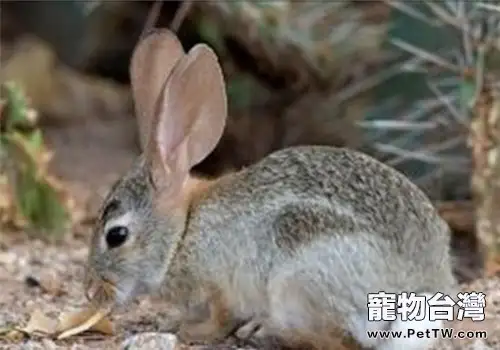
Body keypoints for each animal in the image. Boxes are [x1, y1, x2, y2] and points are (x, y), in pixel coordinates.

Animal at [84, 29, 458, 350]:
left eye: (116, 236)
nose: (90, 290)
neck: (182, 233)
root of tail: (422, 288)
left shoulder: (219, 285)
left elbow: (221, 318)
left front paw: (192, 331)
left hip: (298, 279)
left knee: (342, 341)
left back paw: (267, 332)